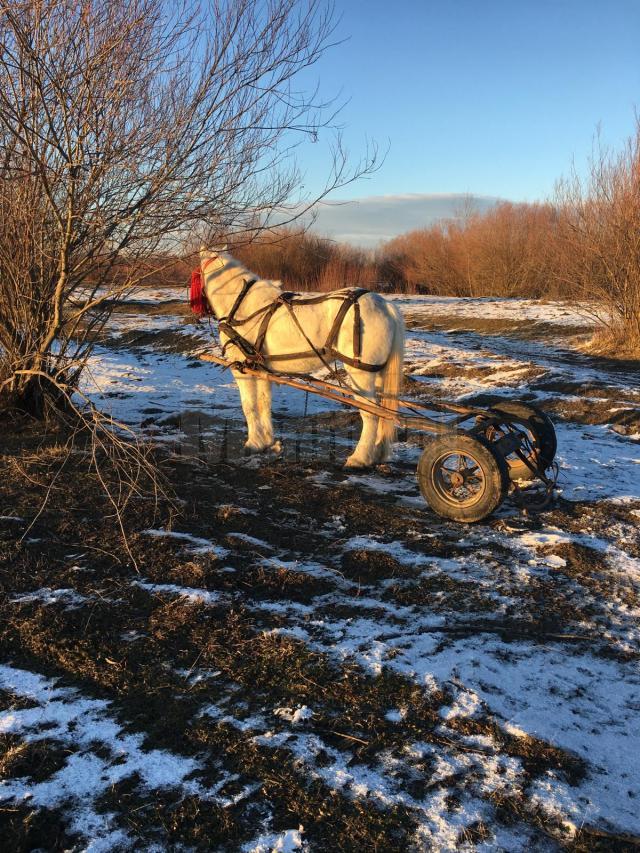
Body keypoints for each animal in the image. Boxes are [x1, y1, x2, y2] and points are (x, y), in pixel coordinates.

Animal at [200, 250, 402, 470]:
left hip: (360, 374)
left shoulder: (242, 369)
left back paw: (360, 458)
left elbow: (249, 405)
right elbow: (263, 403)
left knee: (371, 413)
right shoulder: (260, 368)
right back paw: (378, 453)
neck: (241, 304)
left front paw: (252, 443)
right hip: (378, 372)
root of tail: (386, 305)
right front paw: (266, 442)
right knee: (383, 412)